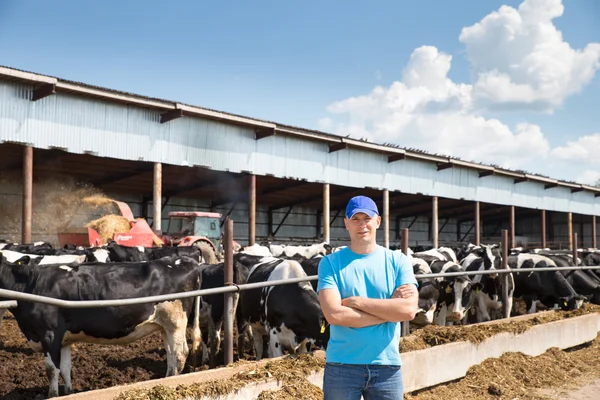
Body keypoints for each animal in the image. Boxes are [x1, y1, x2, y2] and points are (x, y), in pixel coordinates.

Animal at [0, 253, 202, 396]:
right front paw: (69, 393)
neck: (31, 285)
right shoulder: (63, 339)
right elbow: (65, 369)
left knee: (180, 353)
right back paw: (163, 381)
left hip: (175, 321)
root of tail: (185, 260)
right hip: (165, 326)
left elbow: (52, 370)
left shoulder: (49, 334)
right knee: (171, 354)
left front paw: (53, 395)